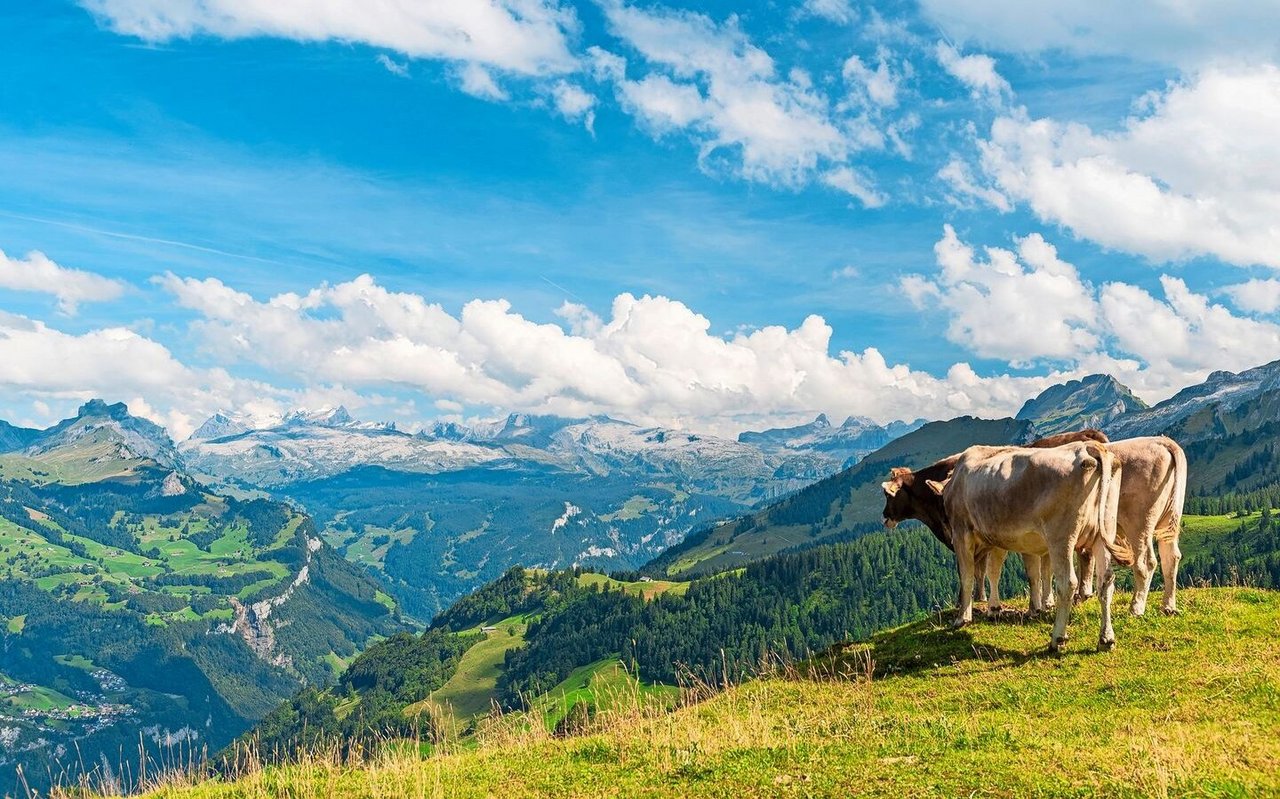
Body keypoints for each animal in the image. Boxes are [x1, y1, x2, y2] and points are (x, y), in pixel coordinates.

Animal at [926, 440, 1136, 653]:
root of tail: (1088, 447)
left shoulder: (962, 532)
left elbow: (967, 575)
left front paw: (962, 618)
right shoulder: (999, 539)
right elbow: (1004, 572)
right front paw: (997, 609)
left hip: (1061, 537)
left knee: (1067, 582)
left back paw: (1058, 639)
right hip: (1105, 531)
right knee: (1106, 581)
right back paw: (1106, 639)